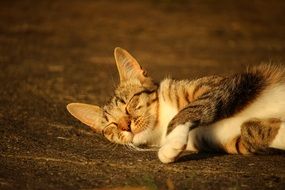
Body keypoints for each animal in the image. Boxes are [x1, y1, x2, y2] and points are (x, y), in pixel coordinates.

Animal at [66, 47, 284, 163]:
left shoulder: (230, 84)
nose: (125, 126)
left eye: (129, 104)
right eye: (111, 126)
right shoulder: (226, 139)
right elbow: (252, 132)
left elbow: (191, 108)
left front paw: (171, 145)